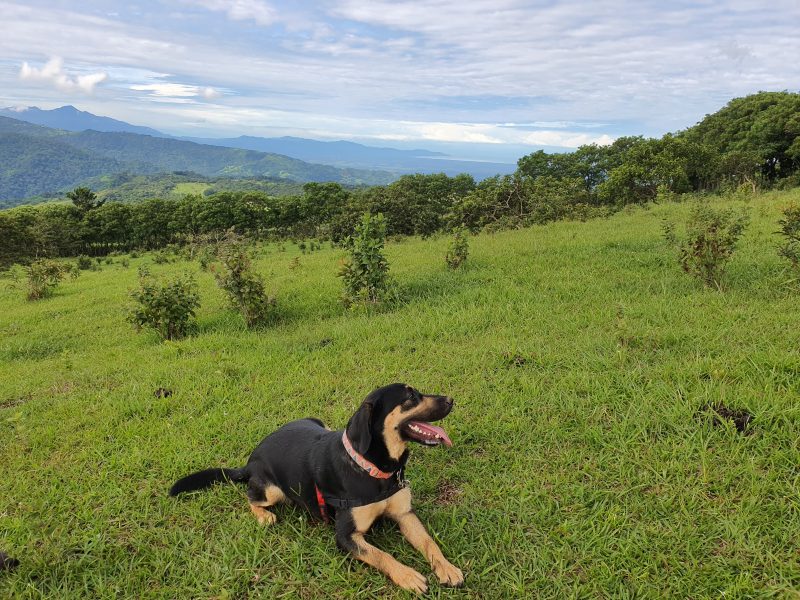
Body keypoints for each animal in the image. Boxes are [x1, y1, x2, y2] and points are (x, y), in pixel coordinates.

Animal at [172, 382, 466, 592]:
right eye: (410, 397)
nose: (451, 400)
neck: (371, 467)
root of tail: (249, 461)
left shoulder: (404, 514)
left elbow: (429, 542)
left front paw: (447, 567)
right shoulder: (346, 536)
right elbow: (381, 555)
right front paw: (407, 575)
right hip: (271, 489)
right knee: (251, 497)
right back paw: (264, 515)